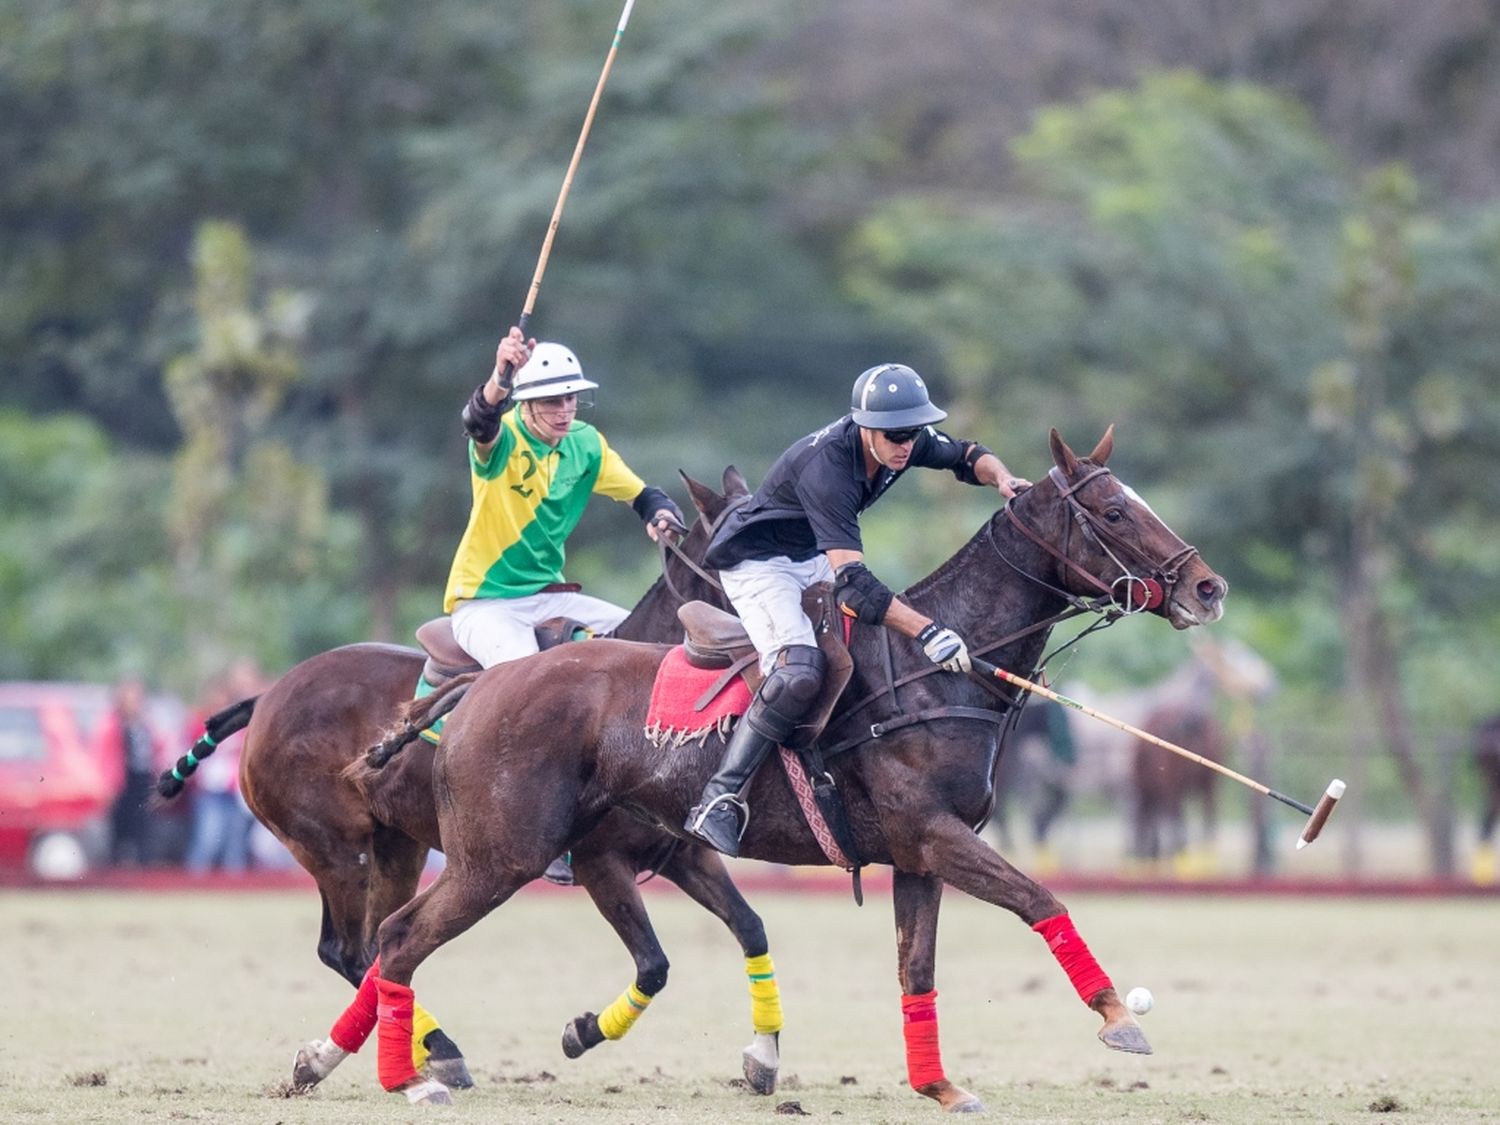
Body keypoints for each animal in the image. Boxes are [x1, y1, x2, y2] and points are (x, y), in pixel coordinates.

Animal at [161, 471, 798, 1098]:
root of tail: (265, 695)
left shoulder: (686, 853)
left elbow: (750, 927)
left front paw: (761, 1057)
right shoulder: (602, 860)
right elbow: (655, 964)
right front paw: (582, 1031)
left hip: (398, 847)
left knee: (376, 944)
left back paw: (423, 1052)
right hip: (335, 849)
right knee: (351, 948)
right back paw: (437, 1051)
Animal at [331, 426, 1230, 1116]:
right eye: (1112, 511)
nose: (1209, 587)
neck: (932, 675)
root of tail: (482, 682)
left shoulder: (917, 854)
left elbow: (915, 969)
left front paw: (938, 1086)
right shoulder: (934, 834)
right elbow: (1042, 898)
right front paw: (1119, 1015)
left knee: (380, 940)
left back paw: (338, 1061)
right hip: (498, 852)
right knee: (393, 938)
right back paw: (408, 1077)